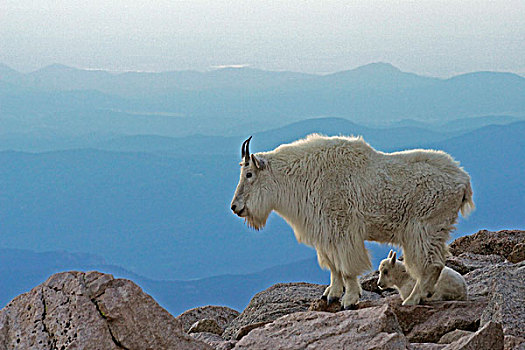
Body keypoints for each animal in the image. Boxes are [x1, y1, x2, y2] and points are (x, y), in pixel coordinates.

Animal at [231, 134, 472, 306]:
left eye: (249, 174)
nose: (235, 207)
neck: (303, 177)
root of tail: (463, 181)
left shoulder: (343, 228)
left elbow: (346, 267)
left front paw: (349, 299)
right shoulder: (325, 233)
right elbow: (332, 266)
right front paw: (331, 294)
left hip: (424, 228)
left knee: (431, 265)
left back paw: (412, 299)